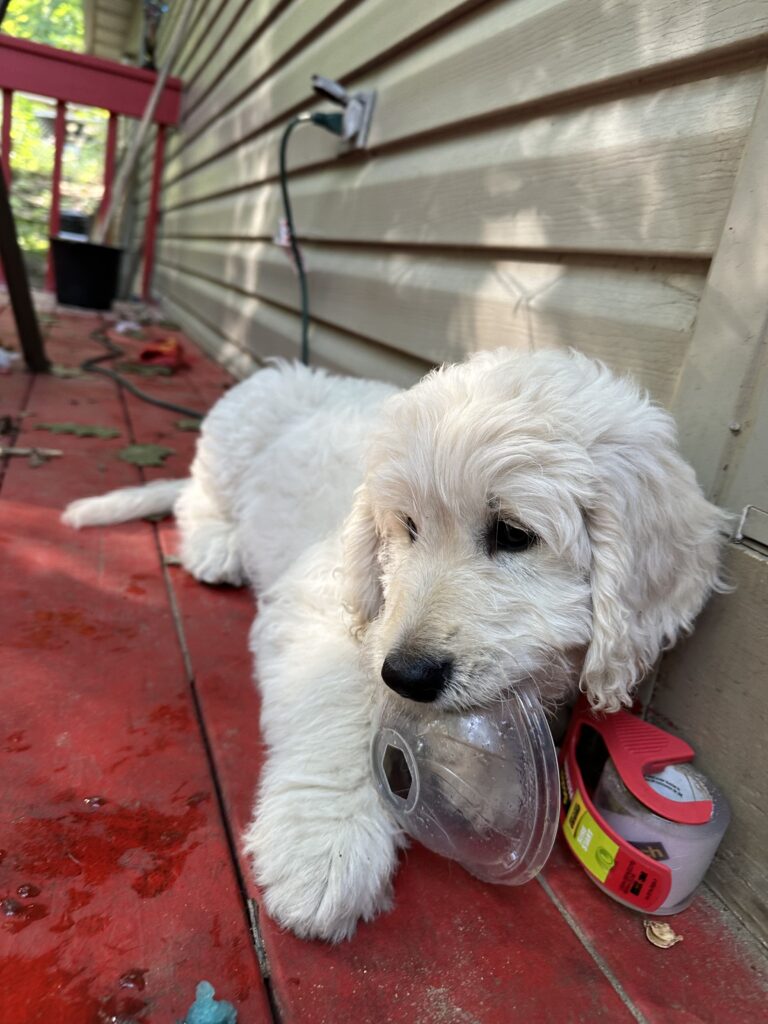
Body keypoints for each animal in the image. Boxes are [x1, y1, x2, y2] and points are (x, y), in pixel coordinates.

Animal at [63, 347, 726, 941]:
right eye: (407, 527)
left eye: (514, 534)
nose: (406, 675)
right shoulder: (327, 609)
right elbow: (337, 713)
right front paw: (323, 847)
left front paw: (481, 780)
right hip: (229, 449)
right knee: (192, 500)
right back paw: (217, 545)